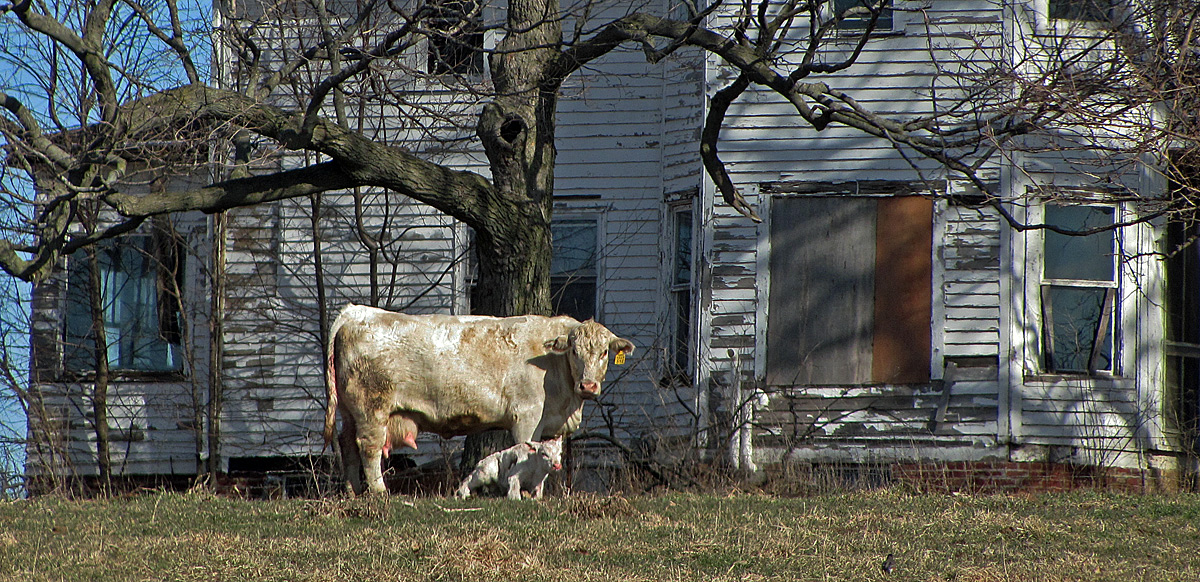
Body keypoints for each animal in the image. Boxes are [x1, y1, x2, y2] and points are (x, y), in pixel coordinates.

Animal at [323, 303, 635, 494]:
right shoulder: (527, 416)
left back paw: (352, 491)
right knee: (369, 447)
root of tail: (357, 311)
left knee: (347, 443)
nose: (588, 385)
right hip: (371, 408)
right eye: (573, 350)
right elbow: (526, 451)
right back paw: (379, 491)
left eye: (604, 352)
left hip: (351, 411)